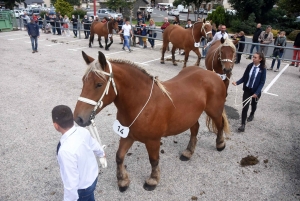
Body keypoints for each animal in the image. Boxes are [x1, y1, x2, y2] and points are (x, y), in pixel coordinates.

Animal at [72, 51, 230, 192]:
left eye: (99, 84)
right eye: (83, 81)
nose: (78, 118)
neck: (141, 104)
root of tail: (213, 74)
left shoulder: (153, 140)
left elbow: (154, 160)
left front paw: (152, 180)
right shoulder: (127, 135)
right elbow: (119, 156)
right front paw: (123, 181)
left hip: (214, 111)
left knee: (220, 125)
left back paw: (220, 144)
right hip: (191, 116)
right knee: (195, 129)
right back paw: (188, 152)